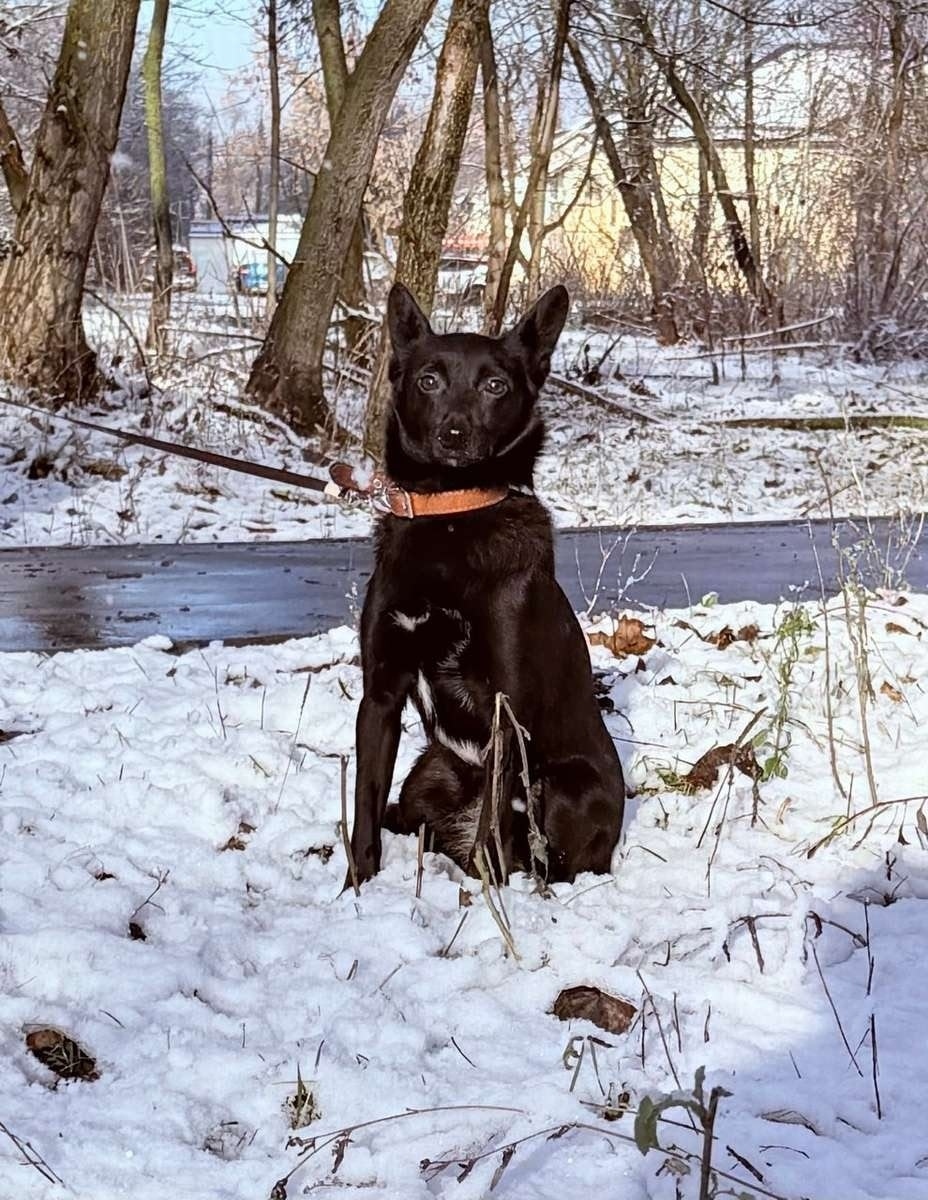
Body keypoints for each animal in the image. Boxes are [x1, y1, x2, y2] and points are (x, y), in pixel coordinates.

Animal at [346, 282, 624, 887]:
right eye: (428, 380)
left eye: (495, 385)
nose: (454, 434)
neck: (451, 513)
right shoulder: (379, 694)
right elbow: (363, 808)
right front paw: (355, 889)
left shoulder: (505, 715)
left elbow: (488, 833)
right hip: (429, 771)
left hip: (566, 787)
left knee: (538, 854)